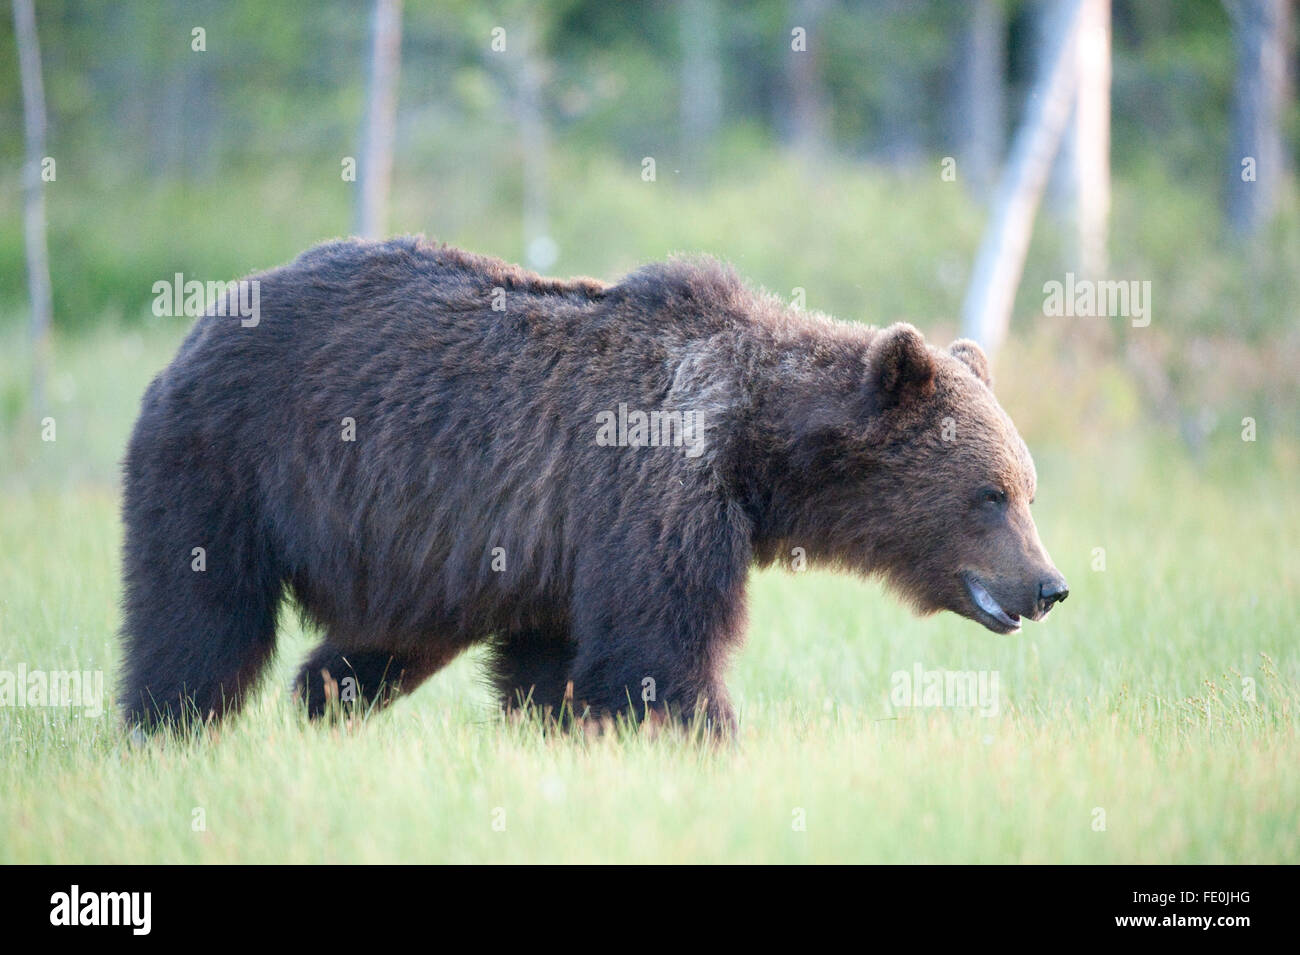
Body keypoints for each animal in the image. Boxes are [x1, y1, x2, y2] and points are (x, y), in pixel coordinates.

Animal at [122, 235, 1071, 738]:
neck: (756, 449)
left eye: (1029, 489)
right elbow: (658, 654)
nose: (1050, 584)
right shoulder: (652, 496)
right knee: (198, 618)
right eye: (991, 492)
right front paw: (710, 739)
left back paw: (319, 699)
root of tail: (205, 319)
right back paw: (164, 726)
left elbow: (552, 667)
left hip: (418, 553)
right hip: (229, 464)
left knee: (379, 642)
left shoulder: (560, 554)